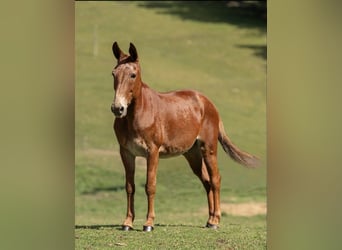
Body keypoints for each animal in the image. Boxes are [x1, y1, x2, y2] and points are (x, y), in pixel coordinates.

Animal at [110, 42, 260, 231]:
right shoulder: (126, 153)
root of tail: (208, 103)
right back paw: (209, 220)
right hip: (192, 154)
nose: (118, 108)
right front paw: (127, 223)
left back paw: (216, 221)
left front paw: (149, 223)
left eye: (133, 75)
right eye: (113, 74)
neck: (137, 114)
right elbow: (130, 187)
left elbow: (150, 185)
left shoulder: (152, 152)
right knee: (206, 181)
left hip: (209, 149)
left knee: (215, 179)